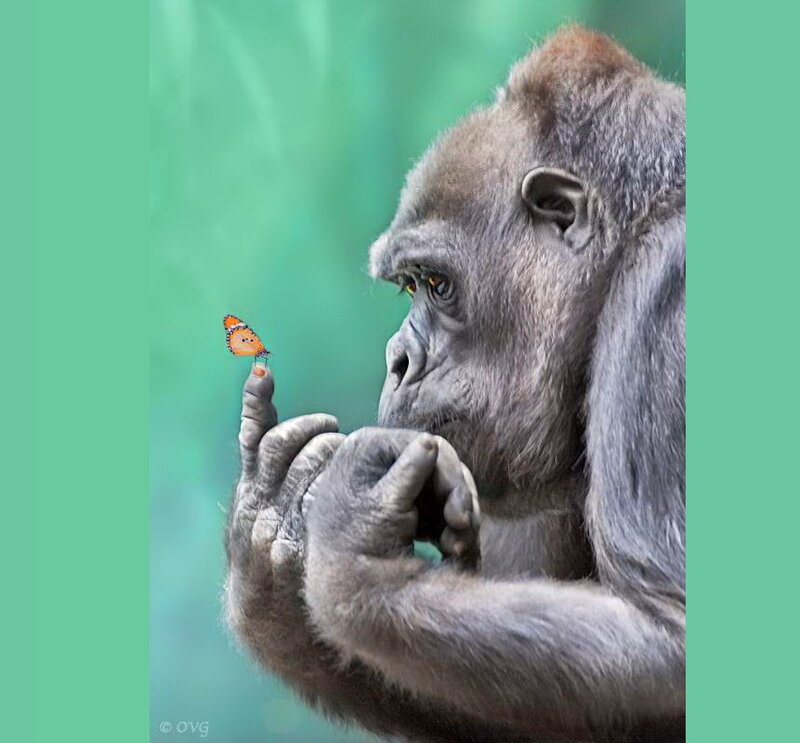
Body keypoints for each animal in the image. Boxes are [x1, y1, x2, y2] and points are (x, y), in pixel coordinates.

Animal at [224, 26, 685, 743]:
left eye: (437, 284)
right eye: (407, 287)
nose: (398, 360)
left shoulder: (668, 290)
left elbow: (668, 638)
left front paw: (356, 553)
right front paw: (271, 535)